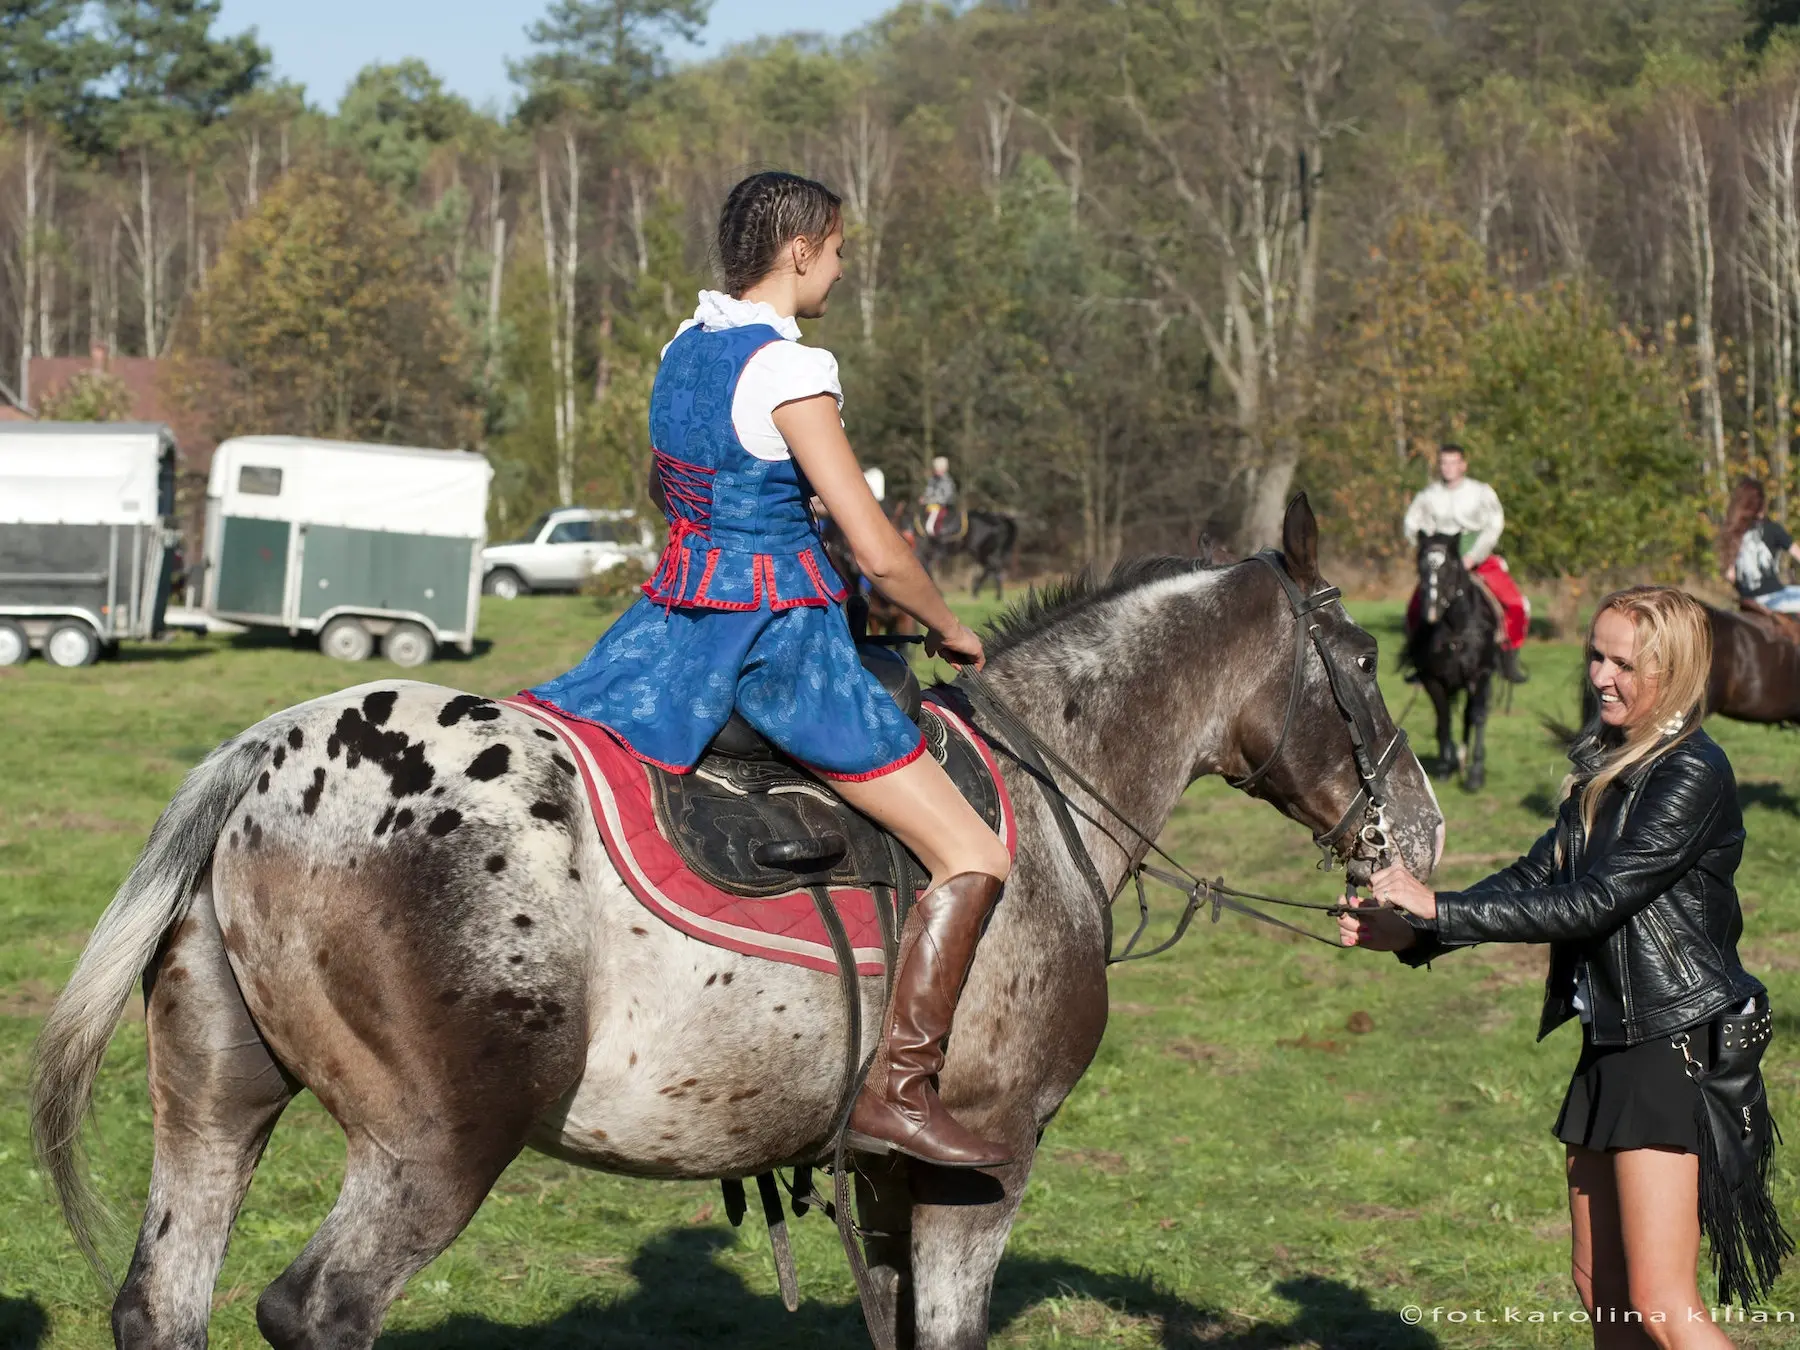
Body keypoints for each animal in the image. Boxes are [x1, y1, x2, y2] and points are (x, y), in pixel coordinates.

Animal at [28, 493, 1432, 1350]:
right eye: (1365, 663)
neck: (1049, 793)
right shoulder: (983, 1168)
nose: (1420, 836)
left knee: (161, 1304)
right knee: (318, 1311)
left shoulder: (886, 1177)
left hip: (216, 1105)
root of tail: (262, 755)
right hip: (435, 1148)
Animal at [1404, 536, 1504, 799]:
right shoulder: (1434, 680)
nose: (1430, 611)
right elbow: (1445, 717)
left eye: (1449, 568)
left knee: (1471, 715)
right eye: (1420, 567)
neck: (1456, 629)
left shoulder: (1480, 676)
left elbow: (1477, 717)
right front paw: (1443, 767)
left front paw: (1475, 775)